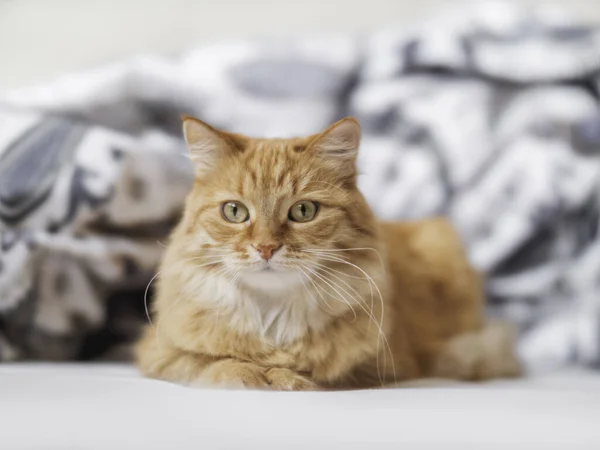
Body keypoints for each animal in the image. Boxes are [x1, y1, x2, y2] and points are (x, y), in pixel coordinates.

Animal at [136, 114, 520, 388]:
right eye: (234, 212)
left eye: (303, 211)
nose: (265, 247)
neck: (272, 316)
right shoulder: (158, 350)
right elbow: (212, 363)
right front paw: (254, 374)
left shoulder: (379, 367)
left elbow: (311, 375)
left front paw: (283, 376)